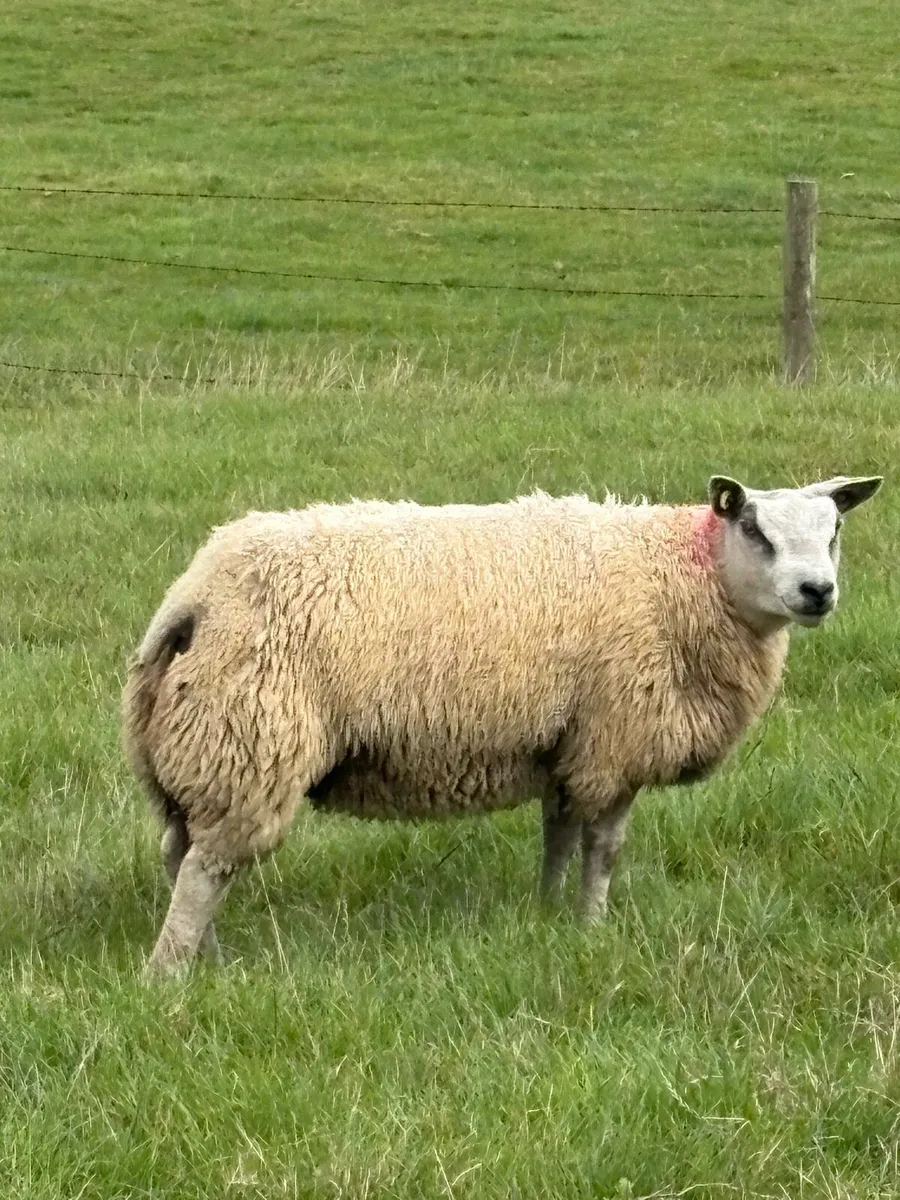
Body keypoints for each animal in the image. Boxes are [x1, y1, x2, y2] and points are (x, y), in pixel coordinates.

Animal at [123, 473, 882, 974]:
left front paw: (547, 916)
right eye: (755, 530)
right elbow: (603, 850)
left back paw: (210, 958)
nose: (817, 591)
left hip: (200, 739)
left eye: (835, 531)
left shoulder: (565, 744)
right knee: (205, 867)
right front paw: (592, 930)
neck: (684, 577)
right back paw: (170, 973)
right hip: (252, 737)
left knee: (181, 850)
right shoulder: (616, 739)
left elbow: (558, 837)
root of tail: (195, 595)